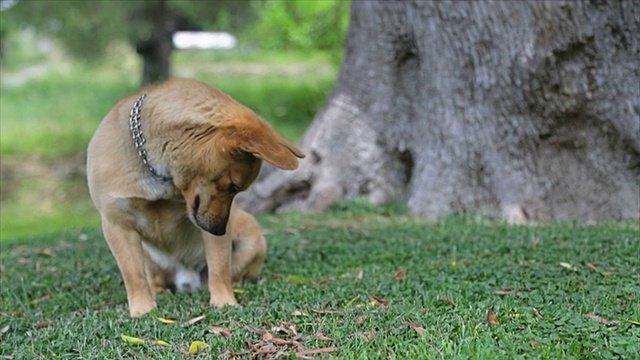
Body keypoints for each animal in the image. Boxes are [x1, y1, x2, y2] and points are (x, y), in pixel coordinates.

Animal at [86, 78, 304, 316]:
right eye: (233, 187)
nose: (220, 230)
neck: (157, 170)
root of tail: (187, 279)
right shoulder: (117, 224)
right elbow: (133, 275)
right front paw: (143, 310)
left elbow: (219, 269)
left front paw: (224, 302)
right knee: (152, 277)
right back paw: (158, 292)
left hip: (252, 240)